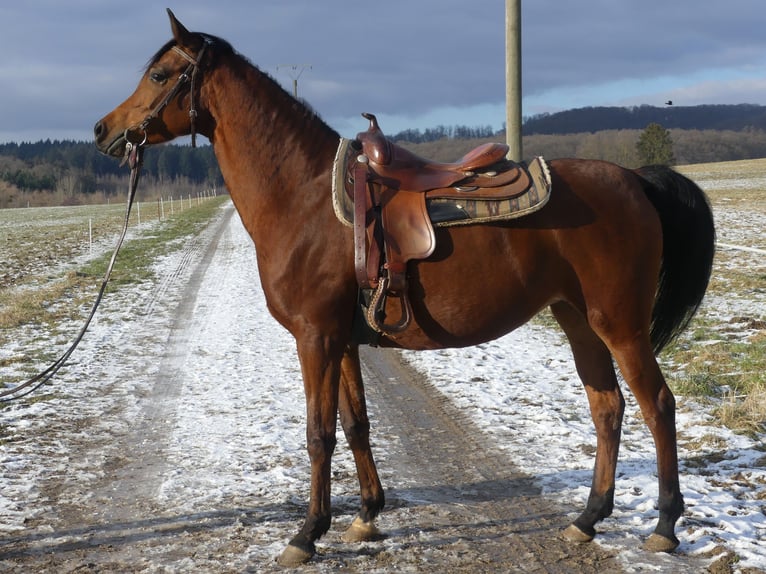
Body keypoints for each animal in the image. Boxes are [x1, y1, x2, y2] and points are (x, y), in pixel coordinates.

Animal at [93, 9, 716, 568]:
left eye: (159, 75)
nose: (102, 130)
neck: (303, 197)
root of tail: (634, 179)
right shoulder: (342, 340)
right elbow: (355, 424)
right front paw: (367, 515)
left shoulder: (314, 338)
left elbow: (318, 433)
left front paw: (307, 533)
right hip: (578, 319)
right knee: (607, 407)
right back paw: (588, 518)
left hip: (620, 324)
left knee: (657, 406)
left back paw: (664, 525)